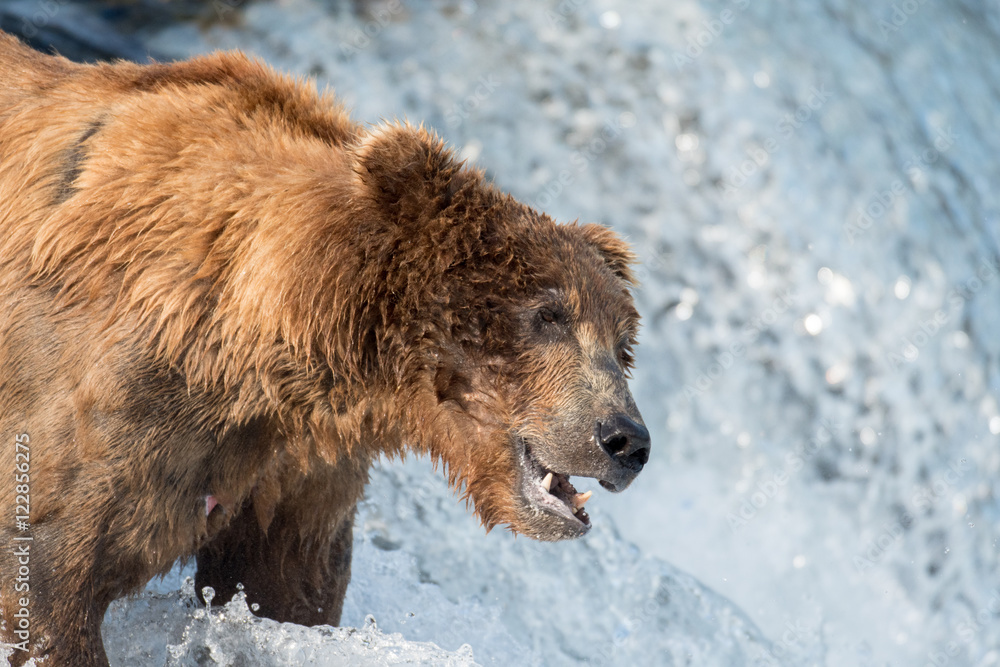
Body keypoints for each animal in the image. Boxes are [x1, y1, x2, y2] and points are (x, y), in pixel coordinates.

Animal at [0, 32, 648, 667]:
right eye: (548, 315)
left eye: (622, 345)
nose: (626, 440)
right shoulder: (128, 402)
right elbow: (52, 577)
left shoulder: (301, 476)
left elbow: (286, 592)